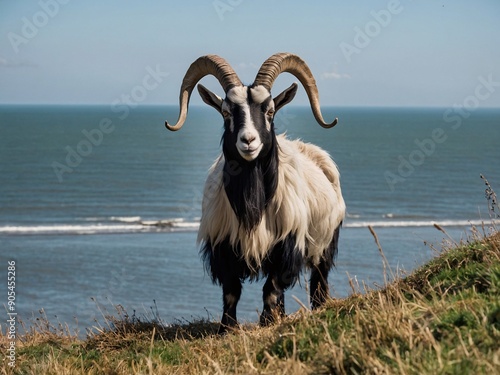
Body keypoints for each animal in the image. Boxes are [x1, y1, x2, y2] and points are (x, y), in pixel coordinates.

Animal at [166, 53, 346, 334]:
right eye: (226, 112)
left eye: (270, 111)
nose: (248, 141)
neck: (254, 204)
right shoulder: (223, 246)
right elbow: (231, 291)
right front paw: (227, 328)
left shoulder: (287, 245)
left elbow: (271, 289)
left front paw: (267, 322)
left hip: (325, 242)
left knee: (319, 280)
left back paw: (317, 308)